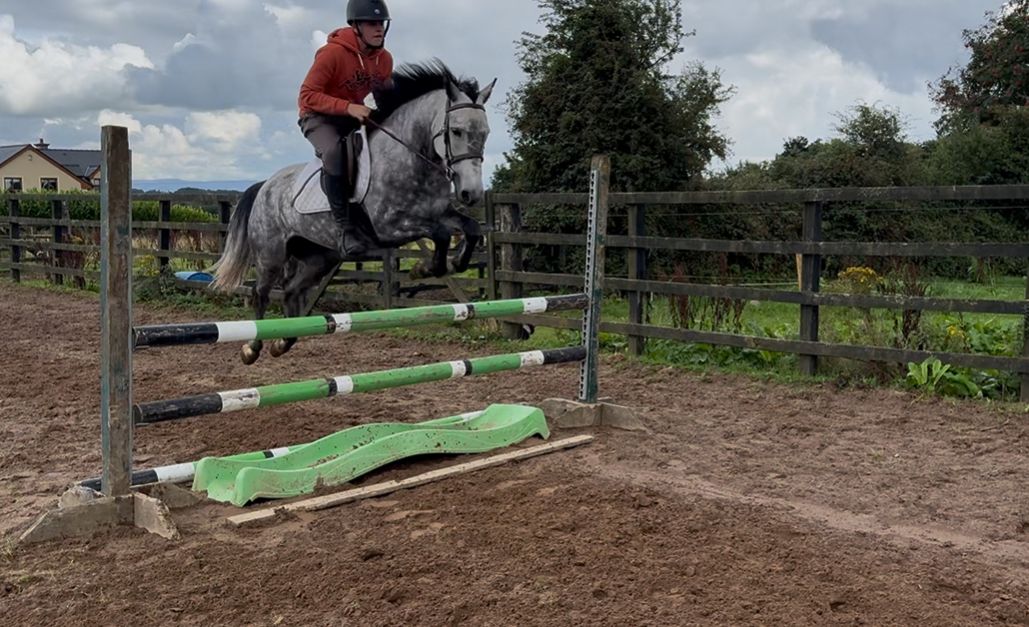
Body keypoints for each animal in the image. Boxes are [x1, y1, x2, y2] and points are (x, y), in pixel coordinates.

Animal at [210, 61, 495, 364]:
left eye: (486, 133)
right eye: (457, 131)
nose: (471, 193)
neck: (408, 157)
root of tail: (265, 185)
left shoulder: (439, 212)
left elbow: (471, 229)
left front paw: (450, 264)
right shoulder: (390, 226)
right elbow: (440, 235)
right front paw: (424, 269)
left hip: (319, 258)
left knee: (291, 291)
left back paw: (283, 341)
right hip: (270, 254)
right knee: (261, 293)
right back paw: (251, 348)